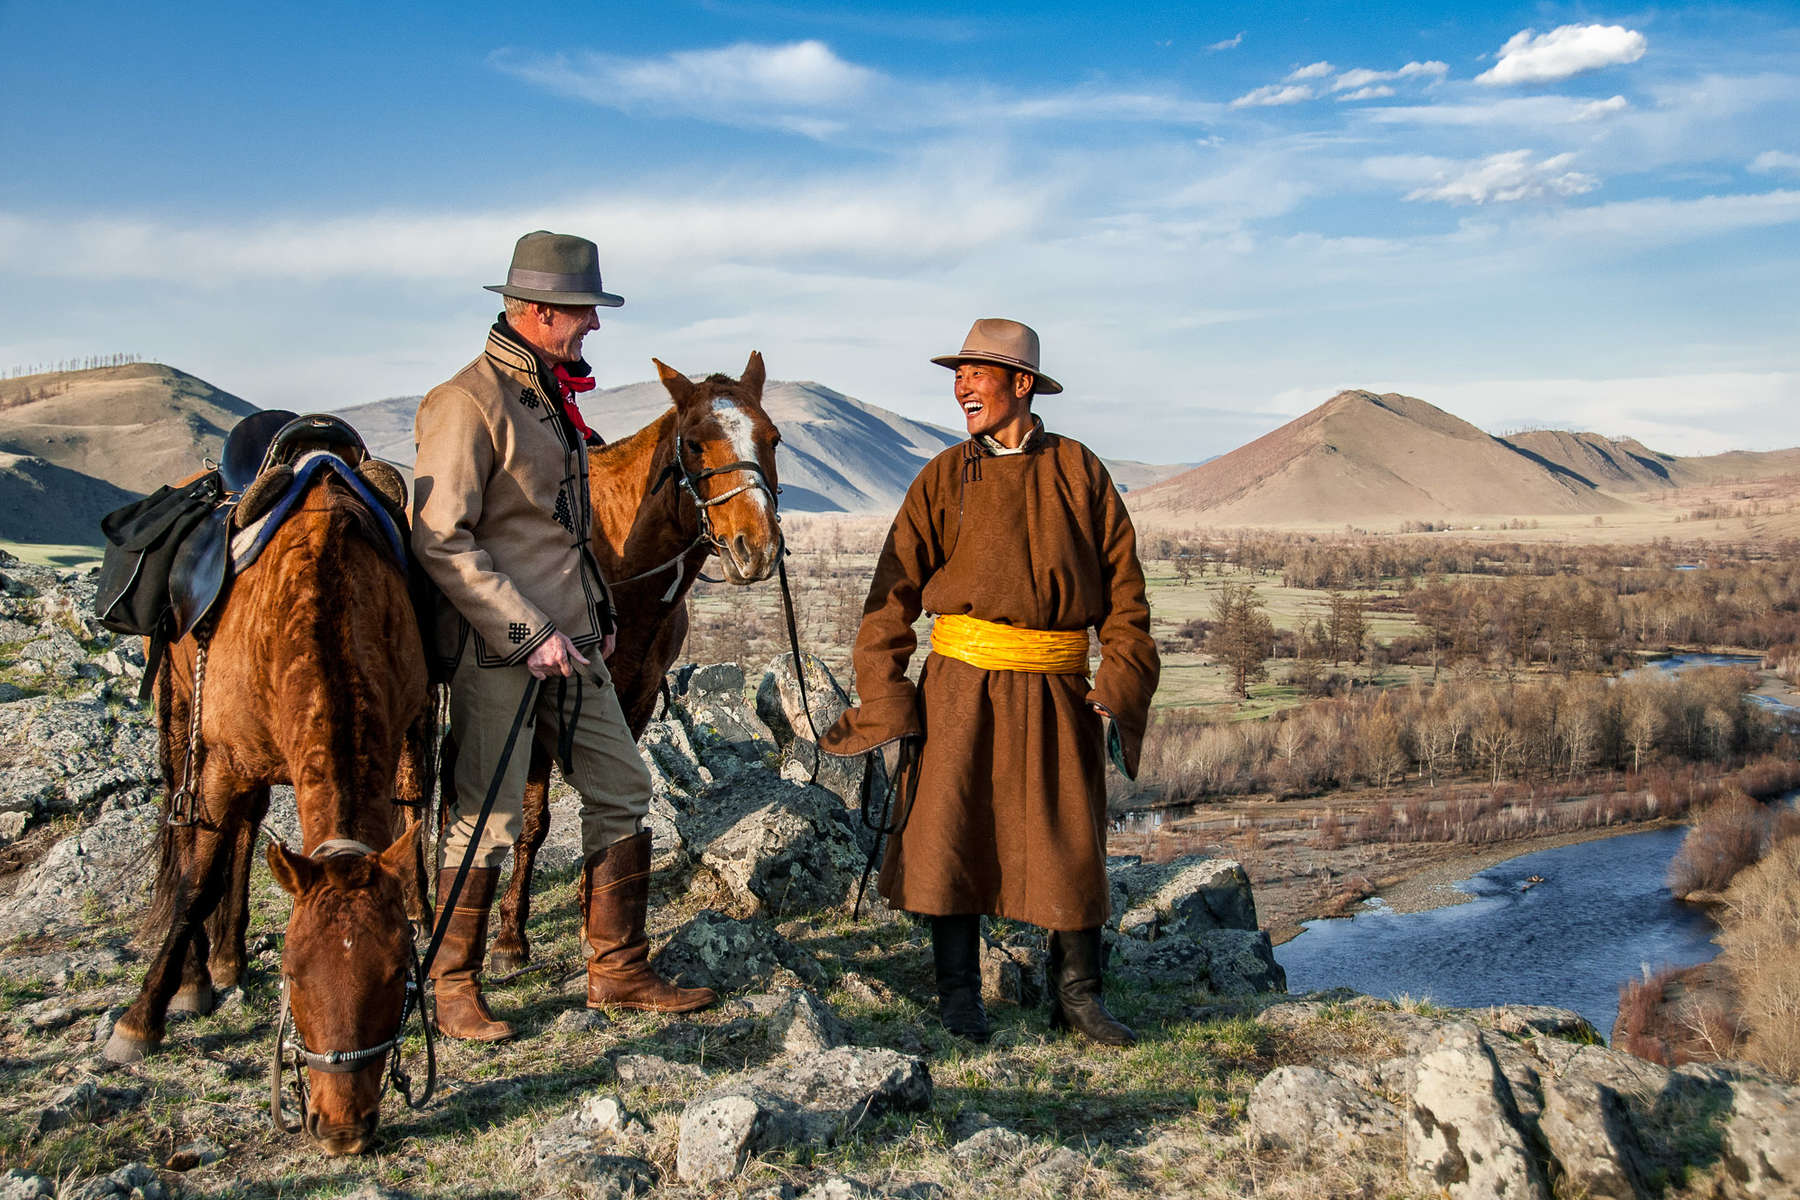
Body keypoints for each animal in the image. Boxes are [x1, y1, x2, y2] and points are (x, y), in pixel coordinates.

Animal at [105, 474, 432, 1158]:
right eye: (293, 974)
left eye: (398, 973)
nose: (342, 1129)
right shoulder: (224, 764)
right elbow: (195, 885)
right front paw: (140, 1020)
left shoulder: (404, 729)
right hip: (183, 723)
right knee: (195, 845)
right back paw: (197, 978)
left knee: (247, 829)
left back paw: (228, 957)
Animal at [482, 352, 784, 971]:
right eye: (695, 444)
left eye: (772, 437)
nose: (757, 548)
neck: (619, 569)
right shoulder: (544, 703)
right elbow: (533, 819)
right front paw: (509, 938)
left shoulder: (636, 701)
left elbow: (612, 808)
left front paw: (592, 919)